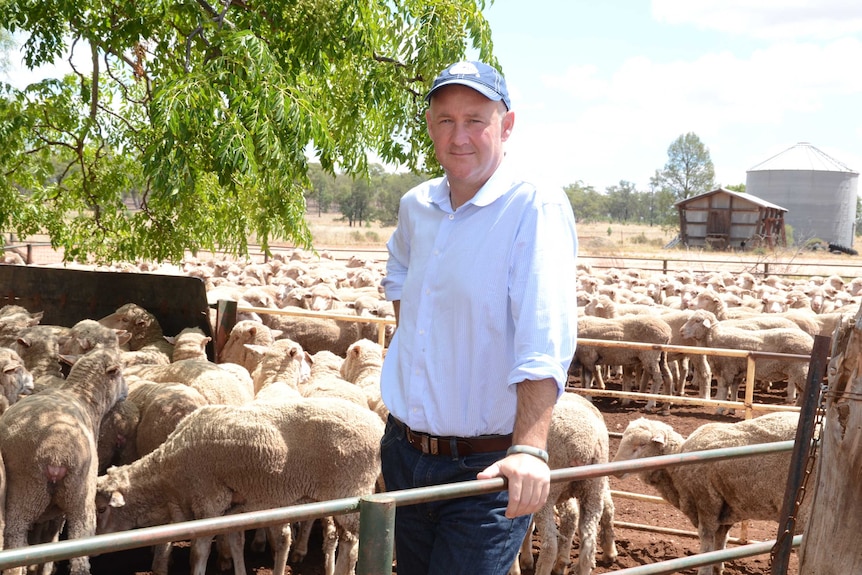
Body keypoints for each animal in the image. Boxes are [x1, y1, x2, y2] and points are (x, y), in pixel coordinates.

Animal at [0, 346, 128, 575]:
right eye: (121, 370)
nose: (127, 391)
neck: (81, 396)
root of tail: (55, 452)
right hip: (75, 496)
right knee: (78, 552)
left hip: (28, 494)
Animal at [510, 394, 616, 575]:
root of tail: (585, 444)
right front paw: (525, 560)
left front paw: (517, 567)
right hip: (593, 489)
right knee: (588, 539)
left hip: (550, 492)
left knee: (550, 544)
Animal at [616, 414, 808, 575]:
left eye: (641, 445)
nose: (616, 470)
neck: (676, 464)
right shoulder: (726, 509)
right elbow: (720, 542)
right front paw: (717, 568)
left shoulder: (706, 502)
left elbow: (706, 540)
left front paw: (705, 570)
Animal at [680, 310, 816, 410]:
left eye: (697, 321)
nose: (681, 331)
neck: (715, 337)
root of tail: (810, 341)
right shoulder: (737, 373)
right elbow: (734, 390)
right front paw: (731, 409)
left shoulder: (727, 371)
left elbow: (723, 392)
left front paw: (720, 409)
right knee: (803, 394)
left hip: (802, 371)